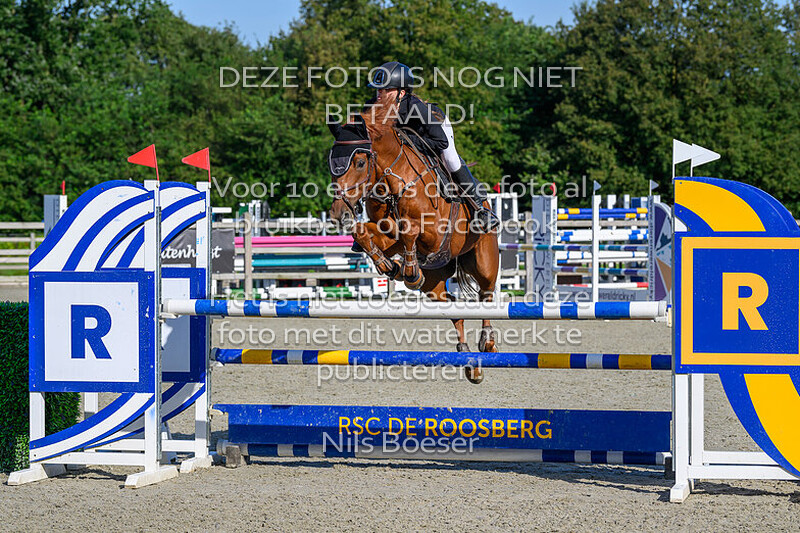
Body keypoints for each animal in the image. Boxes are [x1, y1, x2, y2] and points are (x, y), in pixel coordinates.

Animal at [327, 106, 500, 384]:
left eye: (361, 163)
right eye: (332, 164)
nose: (338, 213)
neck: (391, 181)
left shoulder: (434, 233)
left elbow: (409, 229)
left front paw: (406, 270)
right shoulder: (387, 232)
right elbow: (366, 233)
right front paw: (389, 266)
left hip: (483, 261)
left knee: (486, 295)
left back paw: (488, 343)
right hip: (434, 282)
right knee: (453, 306)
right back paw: (469, 362)